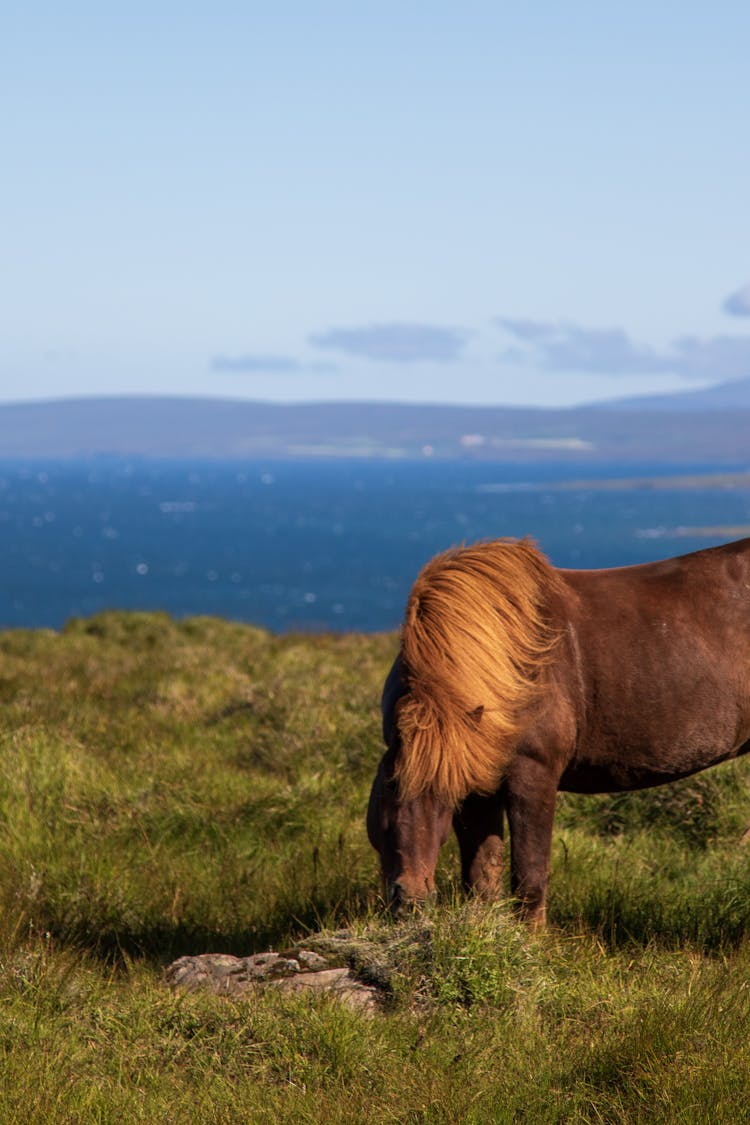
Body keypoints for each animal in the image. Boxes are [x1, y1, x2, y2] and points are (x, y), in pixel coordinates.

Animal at [368, 535, 750, 922]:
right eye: (390, 785)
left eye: (442, 795)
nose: (410, 900)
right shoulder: (479, 785)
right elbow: (482, 878)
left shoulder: (533, 774)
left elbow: (530, 877)